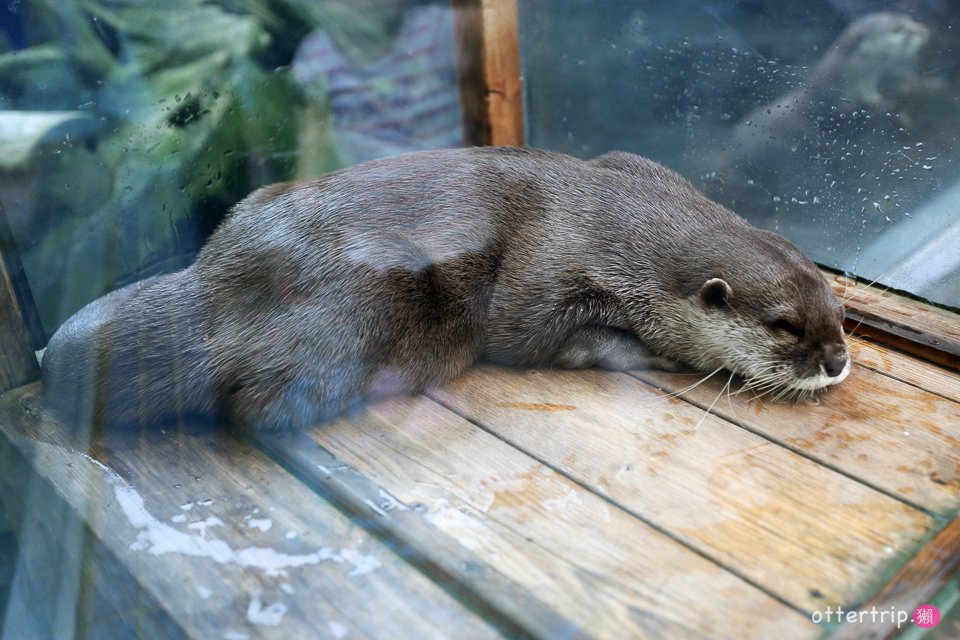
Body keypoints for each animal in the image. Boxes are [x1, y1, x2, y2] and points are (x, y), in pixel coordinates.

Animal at [41, 148, 852, 432]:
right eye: (784, 326)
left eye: (836, 310)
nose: (837, 359)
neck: (621, 216)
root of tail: (216, 285)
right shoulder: (545, 274)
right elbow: (536, 338)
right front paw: (651, 354)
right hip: (350, 313)